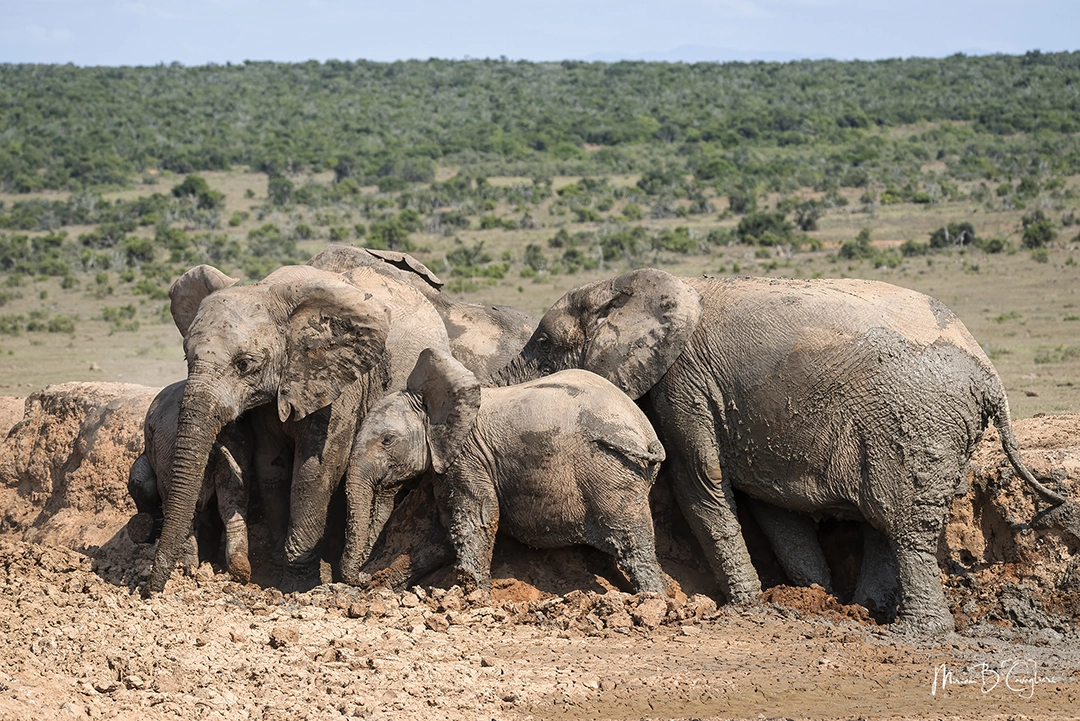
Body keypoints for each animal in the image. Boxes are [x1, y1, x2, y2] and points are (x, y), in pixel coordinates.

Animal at [144, 261, 451, 595]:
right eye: (187, 356)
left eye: (245, 364)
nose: (150, 589)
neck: (269, 290)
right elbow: (270, 466)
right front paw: (282, 575)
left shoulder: (339, 381)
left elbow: (315, 470)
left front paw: (298, 587)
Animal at [341, 347, 668, 595]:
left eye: (387, 440)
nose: (362, 578)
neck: (434, 402)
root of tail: (647, 435)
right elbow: (443, 534)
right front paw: (386, 585)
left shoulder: (467, 457)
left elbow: (477, 518)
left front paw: (472, 596)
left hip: (612, 471)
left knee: (631, 542)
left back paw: (653, 600)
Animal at [493, 269, 1077, 631]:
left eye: (544, 342)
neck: (638, 284)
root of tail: (990, 376)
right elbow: (772, 505)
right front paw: (808, 599)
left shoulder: (686, 382)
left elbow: (700, 485)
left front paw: (747, 605)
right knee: (884, 518)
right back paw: (865, 609)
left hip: (915, 421)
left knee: (905, 522)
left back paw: (915, 631)